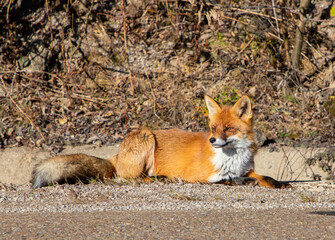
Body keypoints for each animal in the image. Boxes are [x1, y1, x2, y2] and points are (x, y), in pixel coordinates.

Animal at [31, 94, 292, 188]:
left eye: (228, 128)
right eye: (213, 128)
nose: (212, 139)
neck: (232, 158)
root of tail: (117, 154)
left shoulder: (247, 169)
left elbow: (266, 177)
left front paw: (278, 184)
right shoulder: (197, 176)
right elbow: (227, 180)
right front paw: (243, 183)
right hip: (146, 137)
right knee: (130, 178)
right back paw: (161, 178)